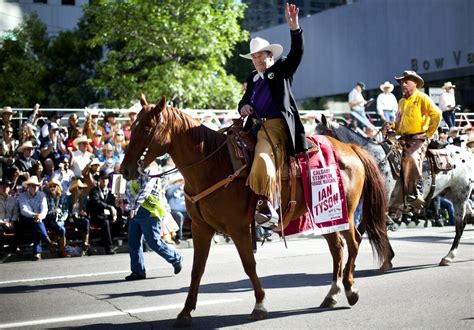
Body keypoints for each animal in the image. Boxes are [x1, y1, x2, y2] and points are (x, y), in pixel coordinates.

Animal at [119, 96, 388, 328]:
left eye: (146, 130)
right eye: (132, 127)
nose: (125, 170)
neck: (212, 164)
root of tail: (350, 147)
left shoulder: (238, 228)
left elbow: (249, 264)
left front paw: (259, 305)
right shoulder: (200, 228)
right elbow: (197, 269)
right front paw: (185, 312)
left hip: (344, 212)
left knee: (353, 243)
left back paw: (350, 289)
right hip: (324, 216)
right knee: (337, 248)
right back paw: (331, 294)